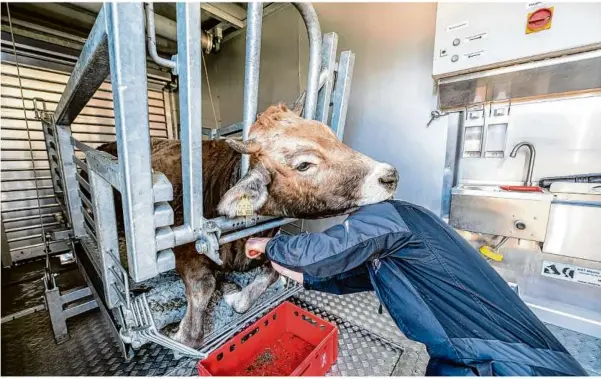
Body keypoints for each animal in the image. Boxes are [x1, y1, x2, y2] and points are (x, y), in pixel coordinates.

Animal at [95, 103, 398, 348]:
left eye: (332, 136)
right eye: (303, 165)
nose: (390, 175)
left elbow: (271, 274)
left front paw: (234, 294)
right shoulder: (184, 248)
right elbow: (201, 299)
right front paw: (180, 332)